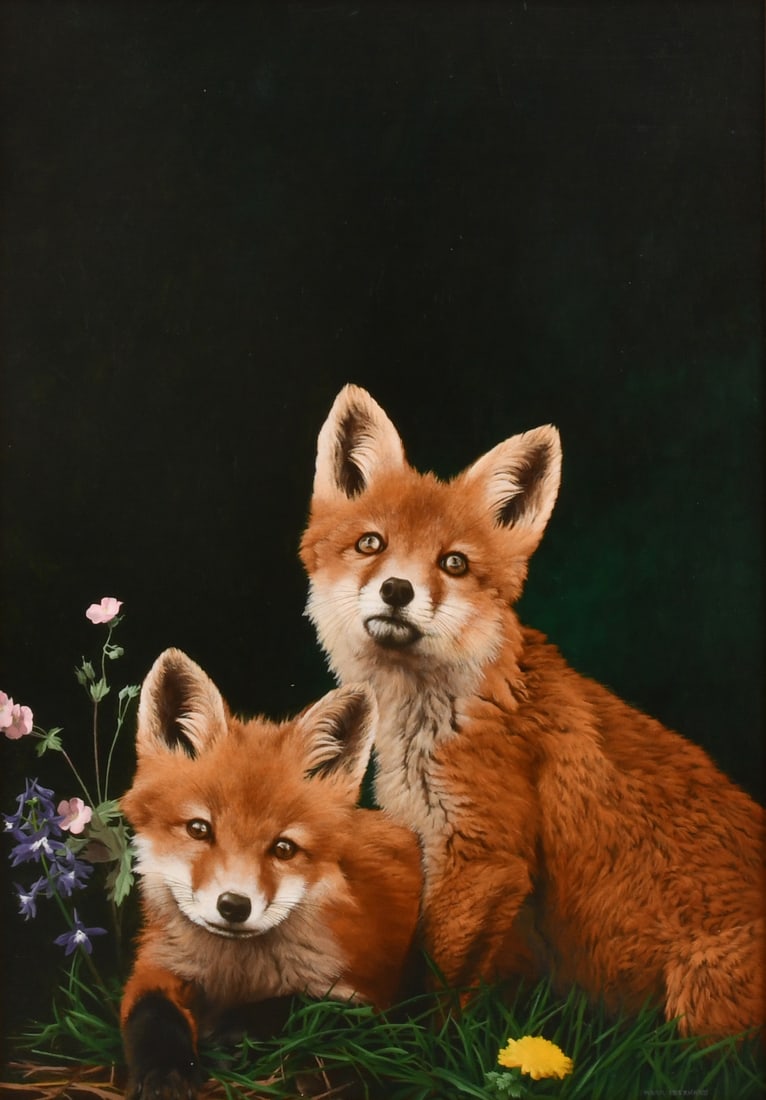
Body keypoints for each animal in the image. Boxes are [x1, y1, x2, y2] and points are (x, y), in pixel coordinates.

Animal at [120, 647, 422, 1099]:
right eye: (199, 829)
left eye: (283, 848)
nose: (233, 905)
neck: (236, 973)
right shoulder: (154, 967)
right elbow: (151, 1014)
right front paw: (164, 1073)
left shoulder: (371, 998)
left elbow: (299, 1004)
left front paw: (230, 1033)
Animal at [300, 383, 765, 1040]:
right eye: (372, 544)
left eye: (454, 564)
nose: (396, 590)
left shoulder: (487, 855)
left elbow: (441, 987)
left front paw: (428, 1048)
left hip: (697, 995)